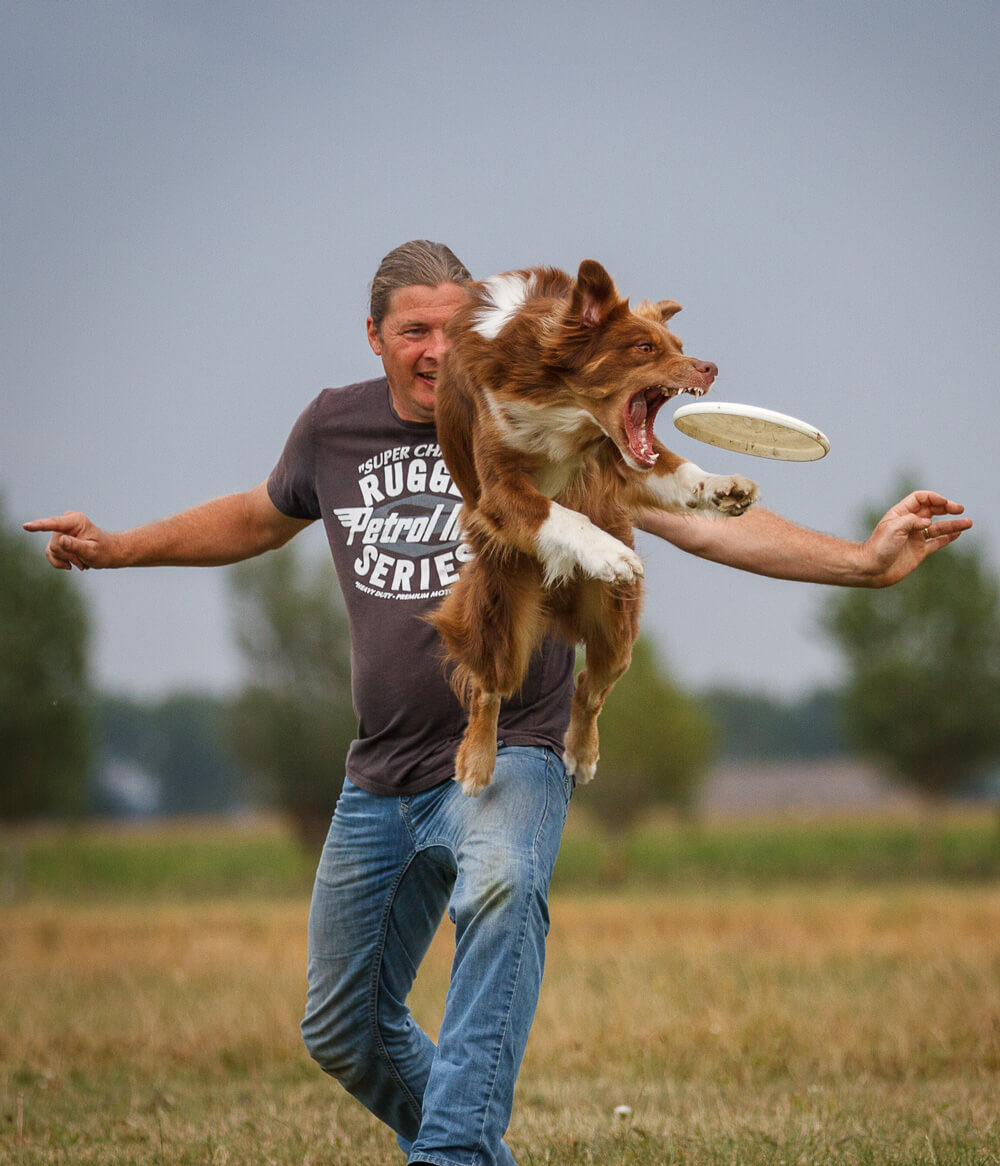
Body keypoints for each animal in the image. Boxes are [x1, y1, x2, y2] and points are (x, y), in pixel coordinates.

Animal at [431, 261, 755, 797]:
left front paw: (722, 486)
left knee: (588, 688)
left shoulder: (619, 454)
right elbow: (558, 512)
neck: (565, 407)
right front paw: (608, 553)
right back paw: (475, 764)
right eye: (644, 348)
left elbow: (674, 469)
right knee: (488, 688)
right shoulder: (498, 486)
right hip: (504, 616)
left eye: (678, 345)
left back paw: (581, 755)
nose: (708, 367)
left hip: (615, 626)